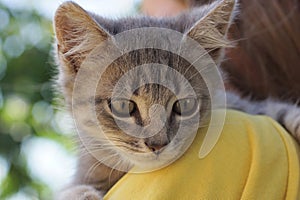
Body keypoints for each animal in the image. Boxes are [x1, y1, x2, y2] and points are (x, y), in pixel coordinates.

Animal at [54, 0, 300, 199]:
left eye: (184, 105)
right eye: (123, 106)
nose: (157, 144)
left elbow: (271, 107)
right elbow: (73, 189)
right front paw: (83, 194)